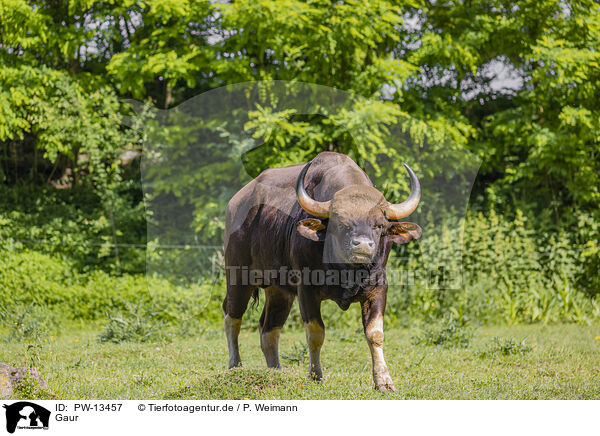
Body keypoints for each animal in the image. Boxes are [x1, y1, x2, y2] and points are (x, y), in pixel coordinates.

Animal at [221, 152, 422, 390]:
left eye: (379, 225)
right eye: (341, 223)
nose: (363, 246)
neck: (346, 271)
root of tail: (236, 204)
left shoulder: (378, 288)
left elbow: (375, 334)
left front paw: (384, 381)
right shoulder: (307, 289)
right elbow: (316, 333)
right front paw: (315, 375)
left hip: (279, 290)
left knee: (269, 329)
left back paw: (275, 372)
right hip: (238, 277)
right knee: (232, 318)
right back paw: (235, 366)